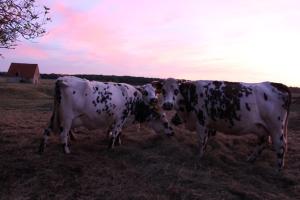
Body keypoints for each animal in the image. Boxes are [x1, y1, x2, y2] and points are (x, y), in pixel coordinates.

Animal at [39, 76, 173, 154]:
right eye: (165, 121)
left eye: (155, 91)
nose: (154, 100)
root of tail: (62, 79)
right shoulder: (121, 118)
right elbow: (115, 133)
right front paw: (111, 147)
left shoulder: (117, 119)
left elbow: (117, 132)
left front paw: (118, 142)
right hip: (67, 118)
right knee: (63, 134)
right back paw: (66, 151)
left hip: (56, 115)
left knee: (47, 130)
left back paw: (42, 149)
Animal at [156, 78, 292, 170]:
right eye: (163, 90)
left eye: (176, 90)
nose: (167, 105)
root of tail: (278, 85)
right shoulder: (208, 125)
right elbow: (206, 140)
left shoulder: (201, 122)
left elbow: (201, 141)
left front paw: (198, 157)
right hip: (262, 128)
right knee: (263, 142)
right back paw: (250, 159)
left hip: (276, 128)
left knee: (280, 145)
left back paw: (278, 170)